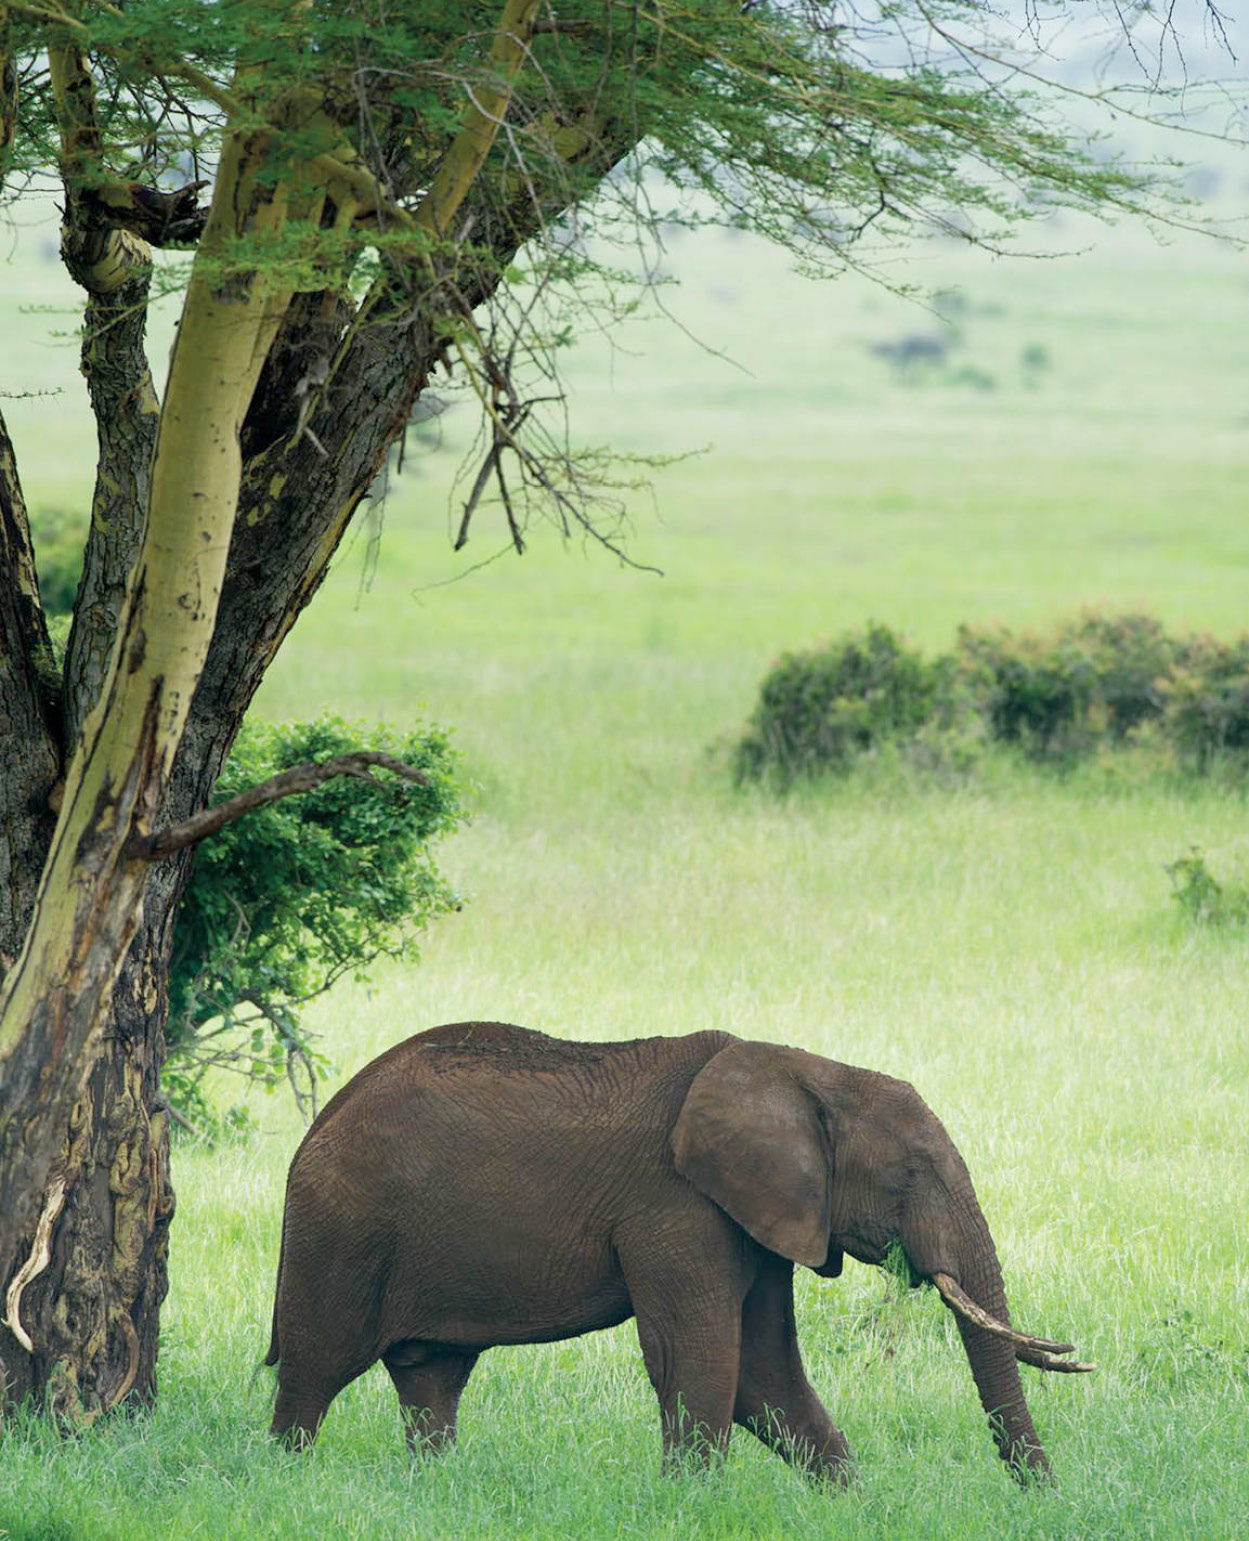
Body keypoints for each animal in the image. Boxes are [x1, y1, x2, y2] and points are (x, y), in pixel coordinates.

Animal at [266, 1023, 1096, 1479]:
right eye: (908, 1174)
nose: (1043, 1499)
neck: (801, 1068)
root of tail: (315, 1126)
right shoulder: (677, 1207)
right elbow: (697, 1359)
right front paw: (690, 1503)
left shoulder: (758, 1214)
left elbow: (762, 1375)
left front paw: (853, 1505)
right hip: (341, 1229)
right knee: (312, 1373)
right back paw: (284, 1484)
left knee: (431, 1380)